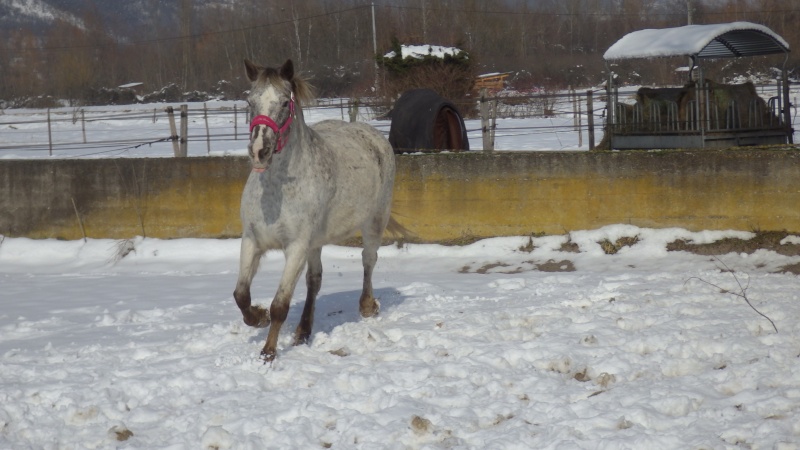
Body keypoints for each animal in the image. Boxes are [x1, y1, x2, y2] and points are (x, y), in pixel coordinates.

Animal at [233, 59, 396, 362]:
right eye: (250, 101)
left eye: (285, 102)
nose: (259, 151)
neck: (275, 192)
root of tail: (373, 135)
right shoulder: (251, 241)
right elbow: (241, 295)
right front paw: (258, 318)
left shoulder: (296, 246)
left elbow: (280, 305)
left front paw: (269, 352)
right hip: (316, 242)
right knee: (314, 280)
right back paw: (303, 331)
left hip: (375, 221)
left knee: (369, 260)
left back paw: (367, 306)